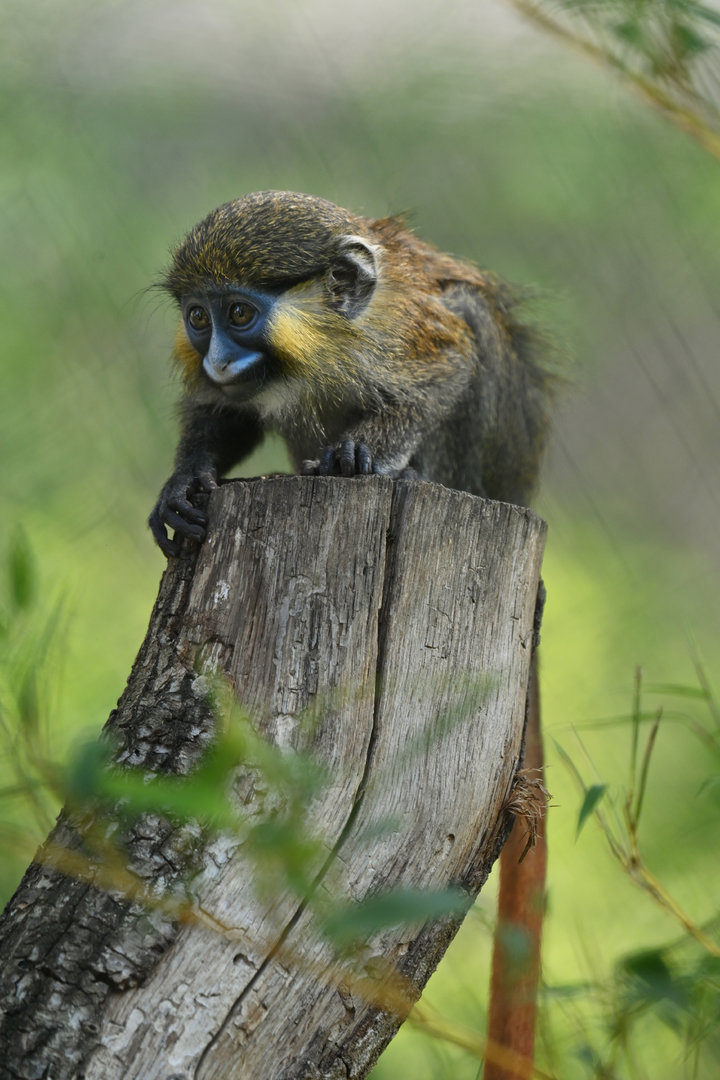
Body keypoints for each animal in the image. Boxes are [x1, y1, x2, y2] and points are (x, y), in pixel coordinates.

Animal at [149, 190, 554, 1079]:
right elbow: (220, 416)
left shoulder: (405, 338)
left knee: (472, 324)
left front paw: (373, 450)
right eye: (198, 319)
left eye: (240, 313)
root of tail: (514, 495)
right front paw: (184, 485)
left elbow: (450, 359)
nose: (219, 358)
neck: (321, 344)